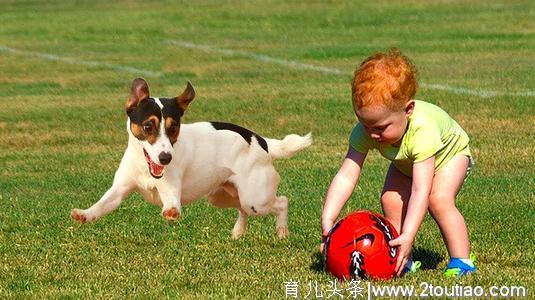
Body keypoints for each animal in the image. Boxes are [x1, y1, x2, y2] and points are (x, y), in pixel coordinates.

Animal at [71, 78, 314, 238]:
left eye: (174, 127)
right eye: (148, 126)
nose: (166, 158)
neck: (145, 165)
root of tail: (262, 141)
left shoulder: (171, 190)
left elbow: (172, 205)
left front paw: (170, 212)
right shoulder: (119, 190)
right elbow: (101, 205)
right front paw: (84, 214)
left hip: (256, 198)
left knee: (282, 202)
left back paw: (282, 233)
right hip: (223, 196)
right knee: (242, 209)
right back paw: (237, 233)